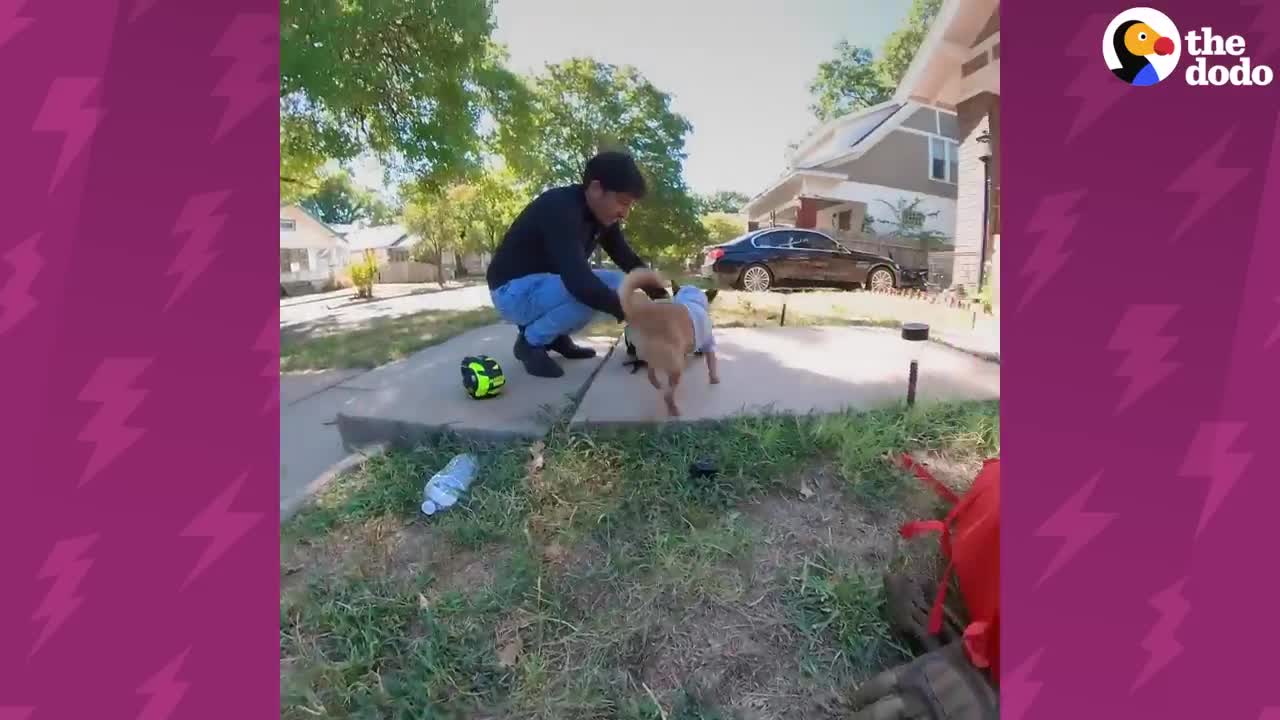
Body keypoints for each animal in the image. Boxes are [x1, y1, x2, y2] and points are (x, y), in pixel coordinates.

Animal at [614, 267, 716, 415]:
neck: (692, 299)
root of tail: (638, 315)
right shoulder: (709, 343)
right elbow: (712, 364)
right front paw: (715, 380)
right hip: (674, 366)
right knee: (667, 395)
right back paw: (674, 411)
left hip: (652, 358)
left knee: (651, 376)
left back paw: (658, 385)